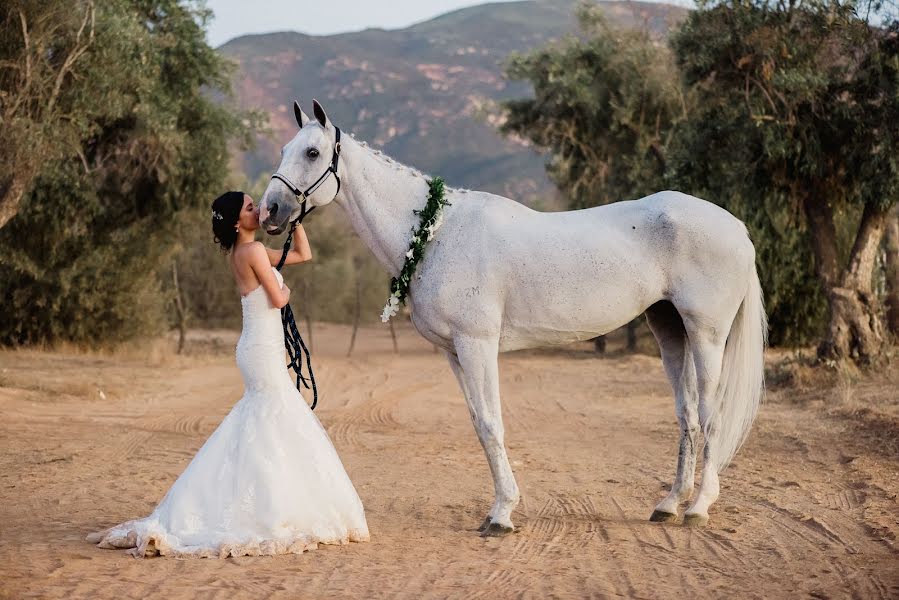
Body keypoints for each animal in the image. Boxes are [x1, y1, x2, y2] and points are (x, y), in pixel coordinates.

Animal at [260, 99, 768, 536]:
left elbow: (491, 422)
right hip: (669, 330)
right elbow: (477, 423)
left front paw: (502, 514)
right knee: (688, 416)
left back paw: (698, 507)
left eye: (311, 152)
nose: (270, 210)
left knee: (711, 414)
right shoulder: (454, 353)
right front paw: (499, 508)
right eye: (283, 149)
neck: (434, 231)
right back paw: (669, 504)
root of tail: (737, 227)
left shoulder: (478, 344)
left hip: (707, 333)